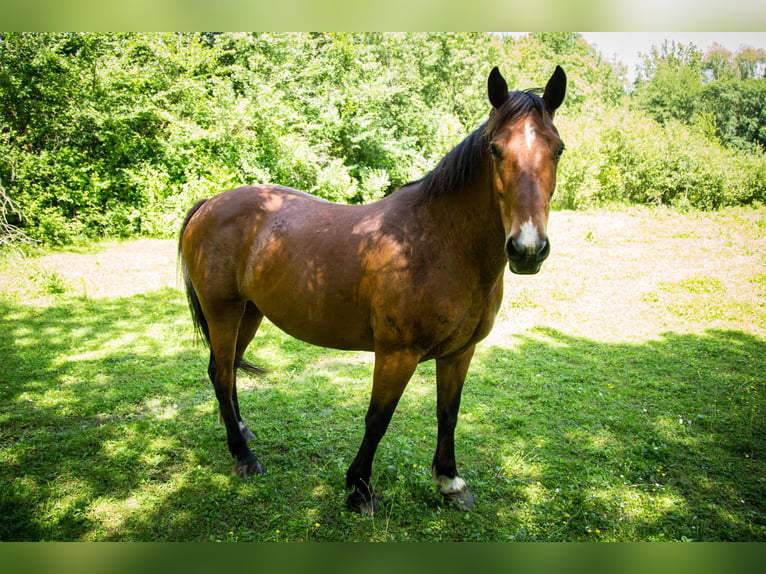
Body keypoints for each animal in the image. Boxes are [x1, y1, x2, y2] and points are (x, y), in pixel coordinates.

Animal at [178, 65, 566, 515]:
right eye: (495, 149)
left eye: (557, 150)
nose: (527, 249)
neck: (438, 241)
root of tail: (209, 204)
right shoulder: (397, 354)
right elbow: (378, 418)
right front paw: (359, 487)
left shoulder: (459, 352)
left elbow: (448, 413)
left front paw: (449, 481)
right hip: (223, 311)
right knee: (222, 374)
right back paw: (244, 456)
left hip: (249, 312)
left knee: (226, 372)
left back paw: (239, 433)